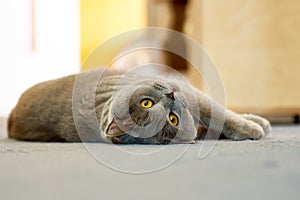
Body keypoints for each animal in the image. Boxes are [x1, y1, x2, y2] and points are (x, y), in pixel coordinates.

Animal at [7, 68, 270, 143]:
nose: (171, 95)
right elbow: (221, 116)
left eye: (146, 102)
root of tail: (10, 118)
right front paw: (254, 128)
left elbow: (218, 112)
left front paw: (256, 121)